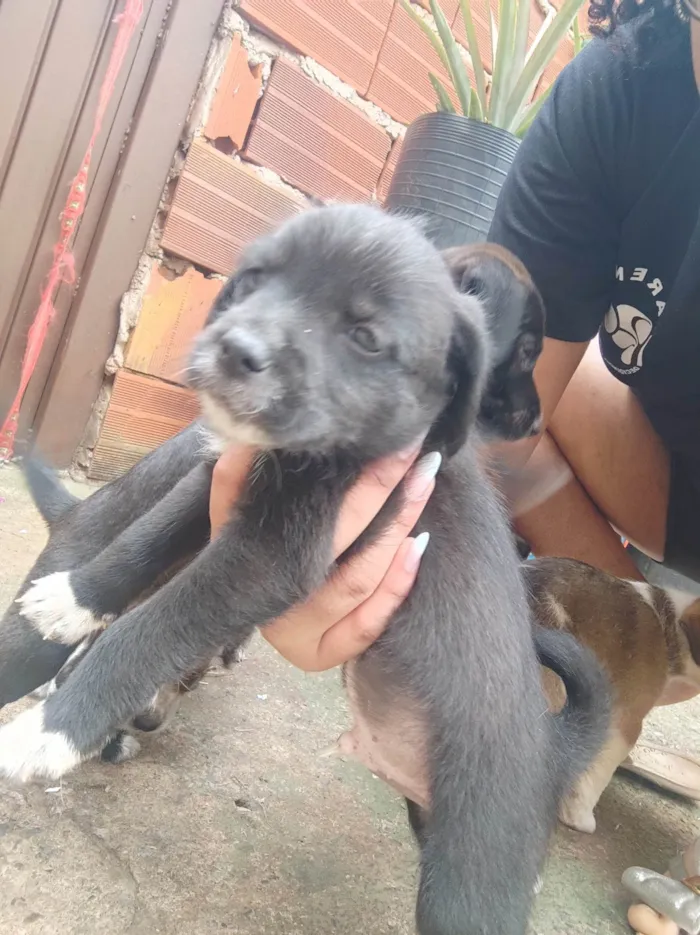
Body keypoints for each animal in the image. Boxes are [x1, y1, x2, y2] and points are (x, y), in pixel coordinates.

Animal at [0, 207, 608, 935]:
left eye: (366, 336)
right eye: (256, 277)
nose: (236, 350)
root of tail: (552, 748)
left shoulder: (270, 555)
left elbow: (142, 632)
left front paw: (51, 731)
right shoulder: (220, 482)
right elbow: (144, 543)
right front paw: (72, 601)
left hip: (471, 873)